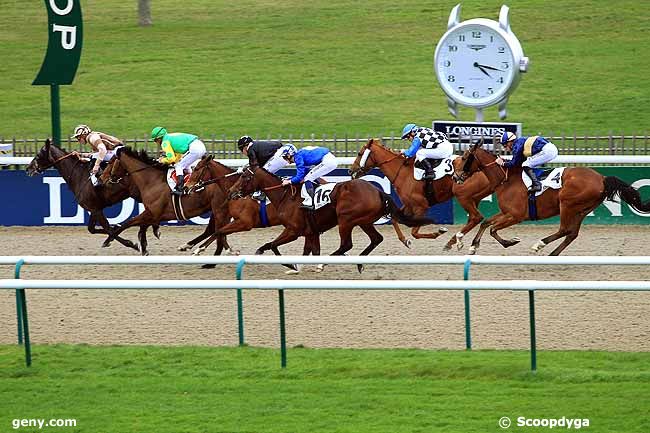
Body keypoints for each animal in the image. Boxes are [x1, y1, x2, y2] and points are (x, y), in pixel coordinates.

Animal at [26, 138, 157, 250]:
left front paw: (130, 243)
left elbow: (107, 228)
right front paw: (116, 228)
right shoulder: (94, 208)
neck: (79, 175)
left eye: (39, 155)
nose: (28, 169)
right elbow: (92, 229)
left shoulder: (96, 209)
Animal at [225, 165, 432, 270]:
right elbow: (309, 250)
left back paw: (326, 262)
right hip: (363, 221)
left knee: (346, 244)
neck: (285, 195)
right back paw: (358, 263)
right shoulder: (311, 231)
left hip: (346, 219)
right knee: (376, 239)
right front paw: (297, 265)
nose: (231, 192)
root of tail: (378, 191)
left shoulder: (294, 230)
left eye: (245, 177)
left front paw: (289, 263)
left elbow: (272, 245)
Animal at [350, 138, 492, 250]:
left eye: (360, 153)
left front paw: (439, 231)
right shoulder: (408, 204)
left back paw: (455, 240)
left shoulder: (421, 206)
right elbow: (395, 219)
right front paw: (405, 240)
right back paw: (457, 241)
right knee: (473, 218)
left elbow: (414, 232)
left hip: (463, 196)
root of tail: (481, 167)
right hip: (474, 198)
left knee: (476, 217)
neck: (403, 172)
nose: (351, 171)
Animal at [456, 143, 648, 255]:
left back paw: (539, 244)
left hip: (567, 204)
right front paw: (472, 246)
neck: (506, 179)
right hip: (582, 209)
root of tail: (602, 178)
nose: (456, 176)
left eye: (464, 157)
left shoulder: (516, 216)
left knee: (565, 229)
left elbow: (492, 228)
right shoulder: (506, 212)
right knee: (572, 234)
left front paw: (510, 242)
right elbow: (486, 223)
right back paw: (553, 254)